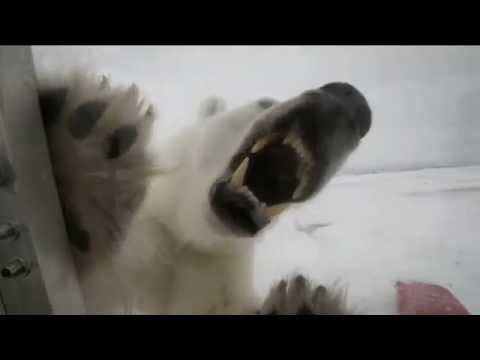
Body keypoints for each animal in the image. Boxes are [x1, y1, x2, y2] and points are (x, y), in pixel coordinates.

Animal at [39, 71, 374, 314]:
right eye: (264, 102)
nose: (349, 99)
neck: (186, 231)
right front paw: (91, 154)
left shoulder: (217, 272)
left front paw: (303, 304)